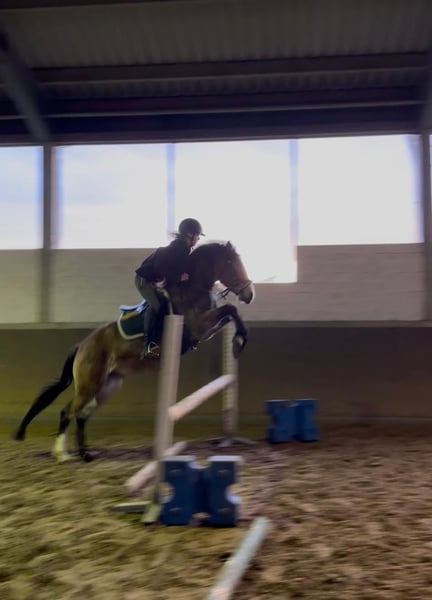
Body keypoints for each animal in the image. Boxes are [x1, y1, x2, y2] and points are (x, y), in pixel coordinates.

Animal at [13, 241, 255, 463]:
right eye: (232, 263)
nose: (249, 294)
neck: (194, 287)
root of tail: (82, 345)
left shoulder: (207, 328)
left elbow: (231, 313)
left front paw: (237, 341)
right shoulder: (200, 326)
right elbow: (230, 309)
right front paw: (238, 343)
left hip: (108, 385)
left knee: (82, 415)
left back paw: (85, 454)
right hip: (90, 384)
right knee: (68, 411)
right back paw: (61, 454)